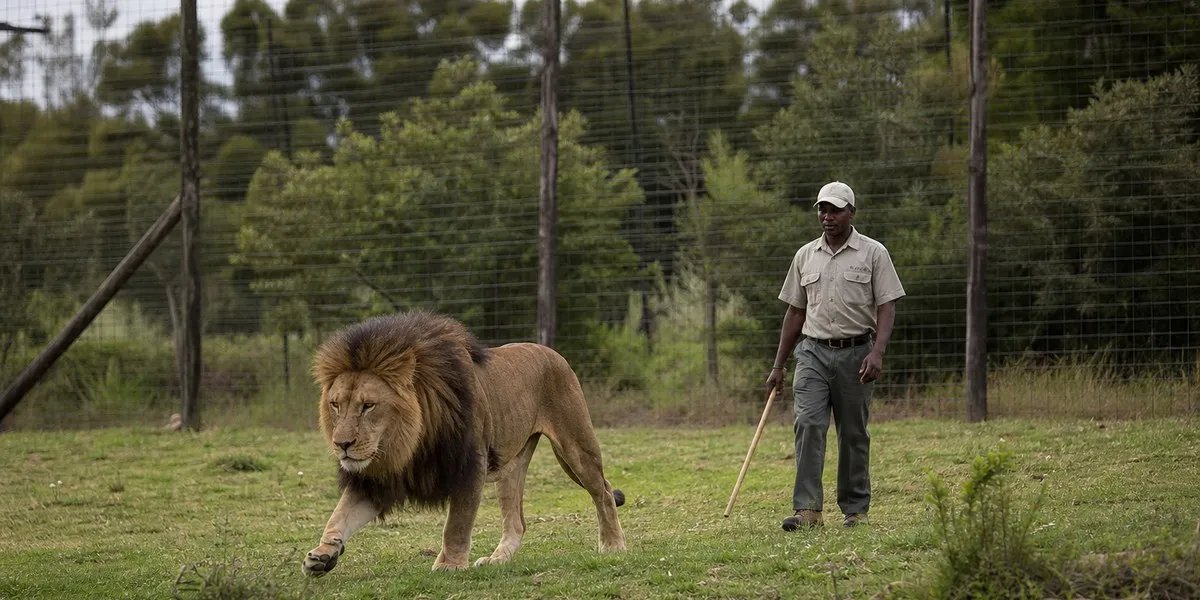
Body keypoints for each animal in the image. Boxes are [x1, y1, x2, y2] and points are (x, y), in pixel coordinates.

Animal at [302, 312, 626, 576]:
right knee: (517, 522)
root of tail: (550, 351)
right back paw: (497, 559)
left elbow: (456, 523)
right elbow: (339, 515)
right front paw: (323, 554)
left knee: (604, 492)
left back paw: (613, 545)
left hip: (575, 446)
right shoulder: (378, 478)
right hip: (510, 466)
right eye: (335, 404)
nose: (341, 444)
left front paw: (449, 564)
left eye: (368, 406)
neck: (409, 443)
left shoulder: (471, 464)